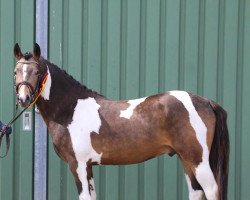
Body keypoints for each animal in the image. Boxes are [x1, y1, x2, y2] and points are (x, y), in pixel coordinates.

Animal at [13, 43, 229, 200]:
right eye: (15, 71)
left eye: (37, 72)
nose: (23, 98)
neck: (70, 109)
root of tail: (206, 101)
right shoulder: (88, 166)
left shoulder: (78, 164)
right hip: (187, 159)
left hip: (197, 160)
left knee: (211, 190)